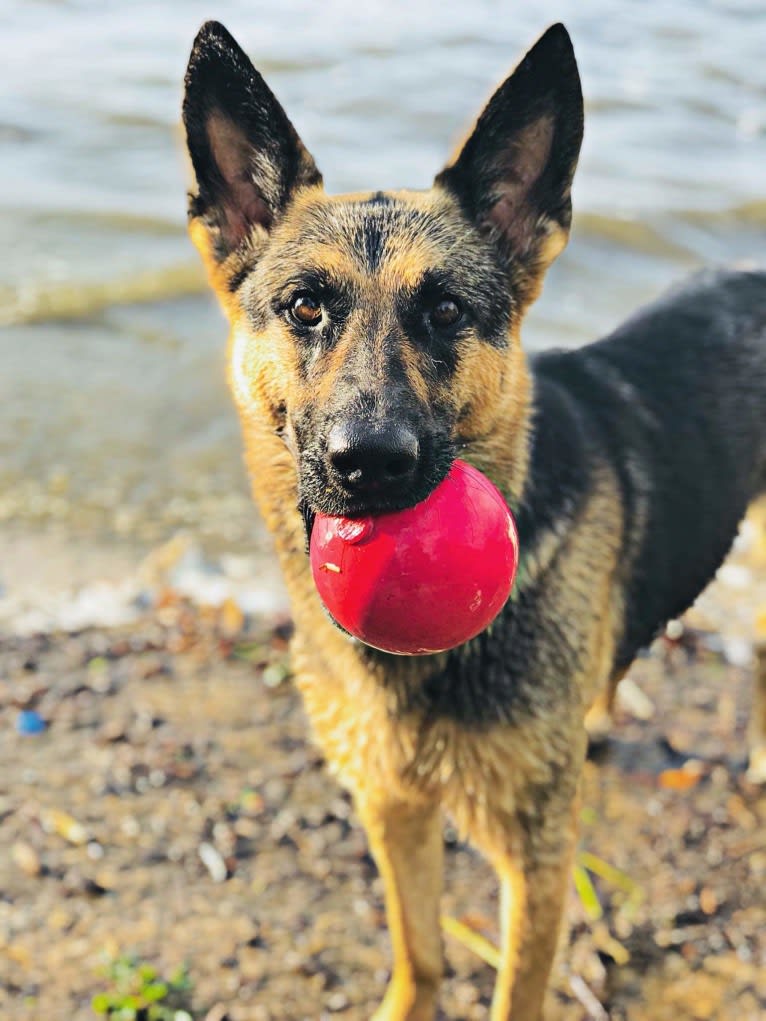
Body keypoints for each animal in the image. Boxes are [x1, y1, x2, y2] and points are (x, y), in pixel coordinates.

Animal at [181, 23, 766, 1021]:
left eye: (445, 310)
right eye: (305, 306)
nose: (370, 465)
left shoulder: (537, 860)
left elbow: (513, 988)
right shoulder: (395, 809)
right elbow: (419, 953)